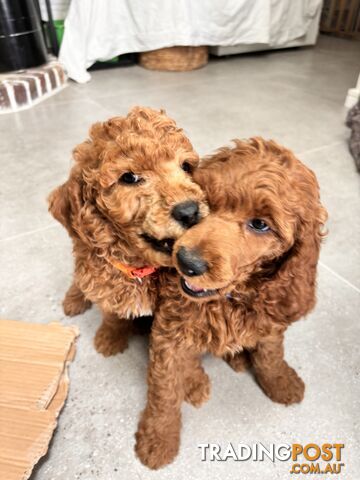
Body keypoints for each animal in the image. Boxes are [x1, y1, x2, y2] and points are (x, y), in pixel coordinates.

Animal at [47, 107, 208, 354]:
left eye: (186, 167)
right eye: (129, 177)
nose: (189, 212)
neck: (139, 269)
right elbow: (112, 315)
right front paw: (109, 339)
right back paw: (74, 299)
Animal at [135, 136, 326, 468]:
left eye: (260, 225)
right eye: (207, 200)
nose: (187, 262)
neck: (229, 297)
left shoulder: (270, 314)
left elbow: (271, 354)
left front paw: (281, 382)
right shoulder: (168, 333)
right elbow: (164, 389)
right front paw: (158, 439)